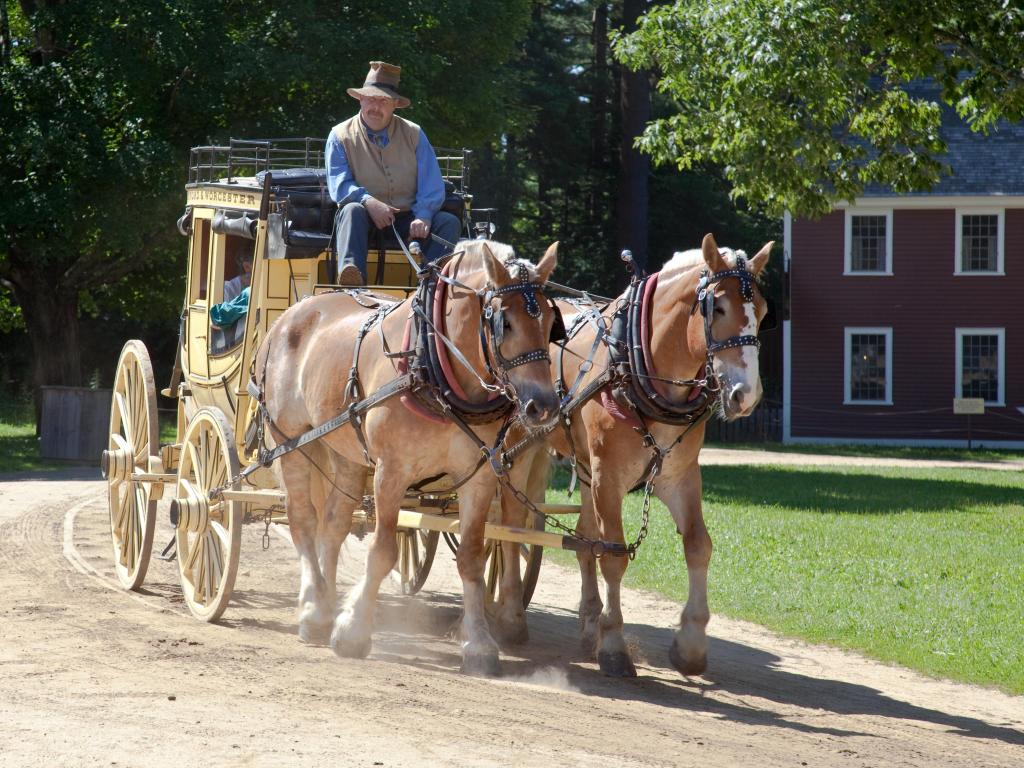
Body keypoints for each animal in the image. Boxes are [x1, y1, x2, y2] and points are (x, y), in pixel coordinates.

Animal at [254, 239, 561, 671]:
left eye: (550, 322)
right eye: (505, 323)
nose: (543, 405)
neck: (434, 366)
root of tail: (290, 316)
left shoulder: (479, 474)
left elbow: (471, 556)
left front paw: (478, 643)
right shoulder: (392, 472)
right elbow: (384, 550)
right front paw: (354, 631)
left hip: (346, 450)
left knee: (333, 524)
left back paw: (327, 602)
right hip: (292, 441)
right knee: (302, 520)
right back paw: (315, 611)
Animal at [497, 231, 774, 675]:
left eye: (762, 311)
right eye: (718, 307)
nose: (746, 395)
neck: (637, 364)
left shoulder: (677, 476)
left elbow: (698, 545)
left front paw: (690, 643)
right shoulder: (609, 477)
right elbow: (613, 555)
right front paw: (613, 645)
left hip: (585, 469)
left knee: (583, 539)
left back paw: (588, 621)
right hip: (518, 449)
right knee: (510, 528)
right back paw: (510, 616)